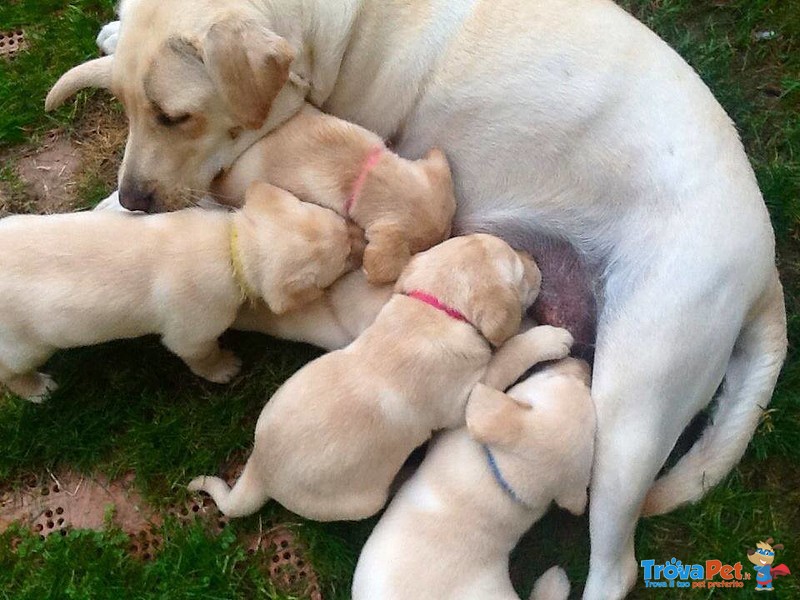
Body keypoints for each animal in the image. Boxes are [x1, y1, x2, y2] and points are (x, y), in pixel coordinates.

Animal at [0, 180, 356, 400]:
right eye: (344, 257)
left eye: (339, 221)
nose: (359, 236)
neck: (231, 245)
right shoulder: (194, 328)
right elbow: (200, 353)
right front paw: (225, 368)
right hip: (24, 345)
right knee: (11, 372)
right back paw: (39, 388)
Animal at [188, 234, 576, 520]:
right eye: (520, 272)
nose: (533, 256)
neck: (436, 309)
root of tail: (259, 471)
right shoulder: (466, 396)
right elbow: (510, 354)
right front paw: (549, 336)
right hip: (361, 501)